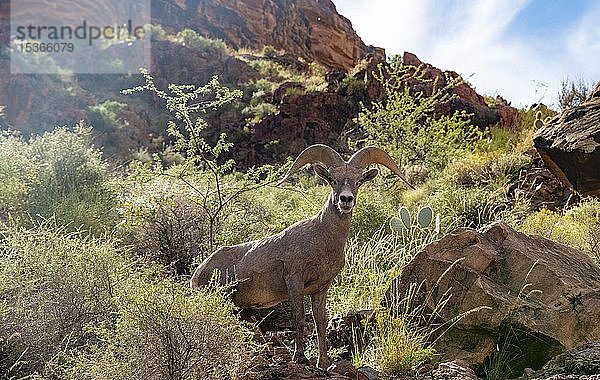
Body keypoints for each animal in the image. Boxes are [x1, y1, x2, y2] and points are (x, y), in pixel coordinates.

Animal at [192, 145, 412, 368]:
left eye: (358, 181)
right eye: (332, 179)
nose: (346, 200)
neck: (322, 239)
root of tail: (199, 273)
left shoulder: (321, 289)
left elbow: (319, 321)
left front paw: (324, 361)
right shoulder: (294, 281)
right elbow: (299, 318)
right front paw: (300, 357)